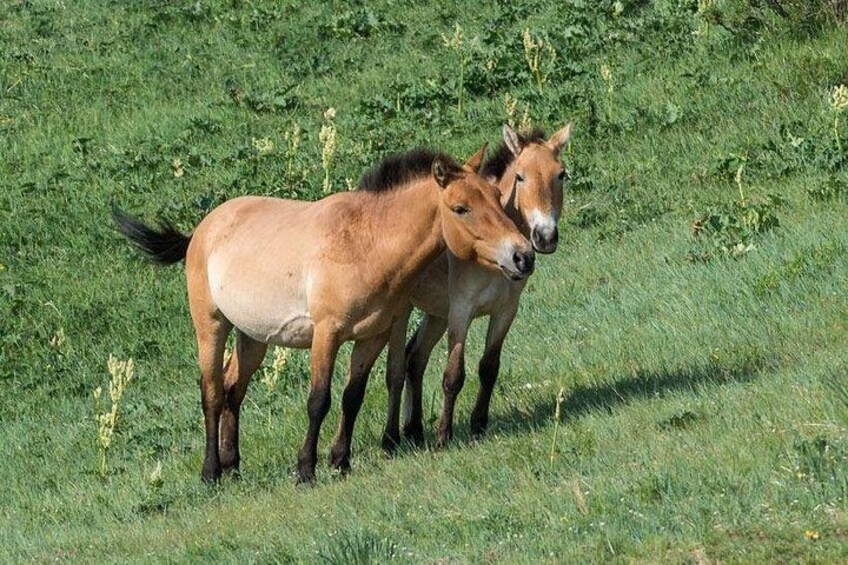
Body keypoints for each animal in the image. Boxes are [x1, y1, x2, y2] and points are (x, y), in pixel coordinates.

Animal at [113, 144, 535, 483]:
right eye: (461, 209)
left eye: (497, 196)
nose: (522, 255)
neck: (366, 244)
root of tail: (202, 229)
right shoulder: (327, 334)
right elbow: (319, 401)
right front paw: (306, 470)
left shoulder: (372, 336)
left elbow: (352, 397)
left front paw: (341, 461)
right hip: (211, 325)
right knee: (213, 392)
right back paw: (211, 471)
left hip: (253, 336)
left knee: (234, 388)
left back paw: (233, 465)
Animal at [375, 123, 572, 451]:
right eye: (520, 177)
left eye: (561, 175)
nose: (544, 237)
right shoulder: (461, 313)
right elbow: (453, 375)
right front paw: (444, 436)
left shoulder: (505, 311)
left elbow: (489, 367)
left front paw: (478, 425)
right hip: (404, 313)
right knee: (397, 369)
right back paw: (391, 438)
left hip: (436, 315)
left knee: (415, 358)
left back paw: (414, 429)